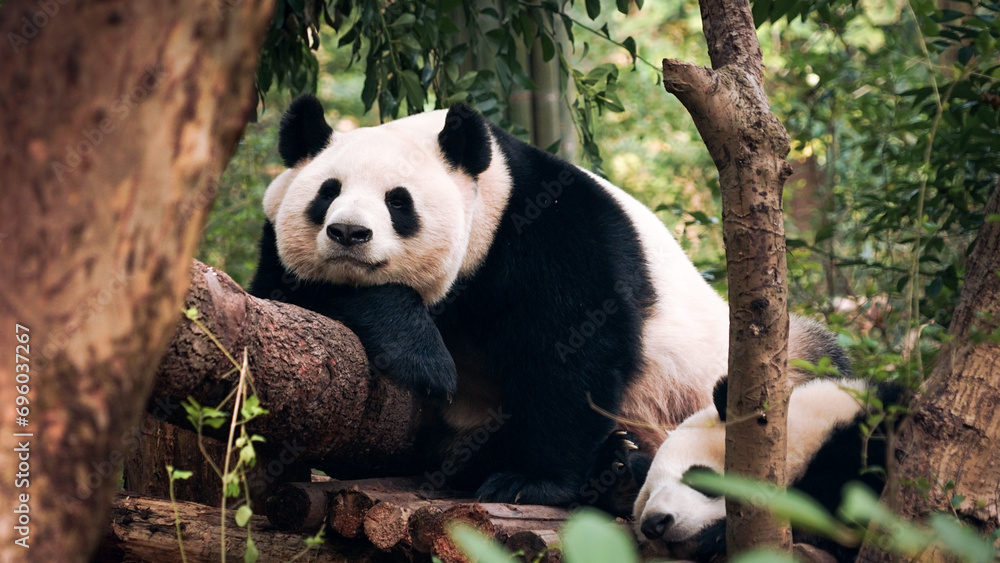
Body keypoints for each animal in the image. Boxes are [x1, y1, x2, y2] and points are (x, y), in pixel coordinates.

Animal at [249, 94, 852, 506]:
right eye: (327, 192)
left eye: (399, 202)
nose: (349, 233)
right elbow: (289, 302)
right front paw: (421, 355)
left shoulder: (549, 228)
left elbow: (570, 350)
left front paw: (530, 480)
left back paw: (617, 467)